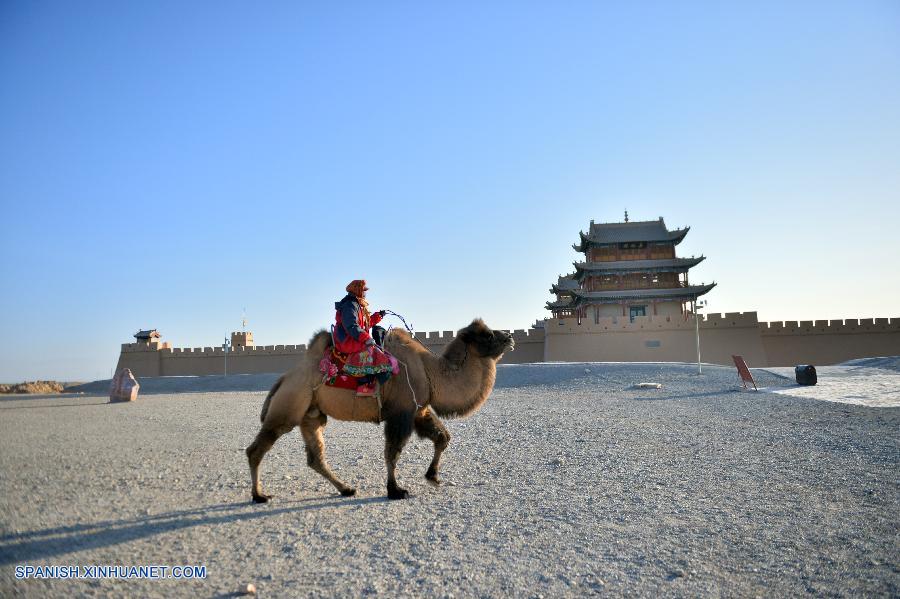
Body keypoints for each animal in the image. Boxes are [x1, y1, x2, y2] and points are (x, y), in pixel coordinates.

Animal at [246, 318, 512, 502]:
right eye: (488, 335)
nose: (509, 336)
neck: (430, 372)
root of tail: (283, 378)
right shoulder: (401, 413)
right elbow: (392, 453)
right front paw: (395, 490)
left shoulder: (418, 411)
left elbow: (442, 437)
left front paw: (433, 477)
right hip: (289, 406)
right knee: (257, 448)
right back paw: (259, 496)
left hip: (311, 414)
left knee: (315, 457)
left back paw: (346, 488)